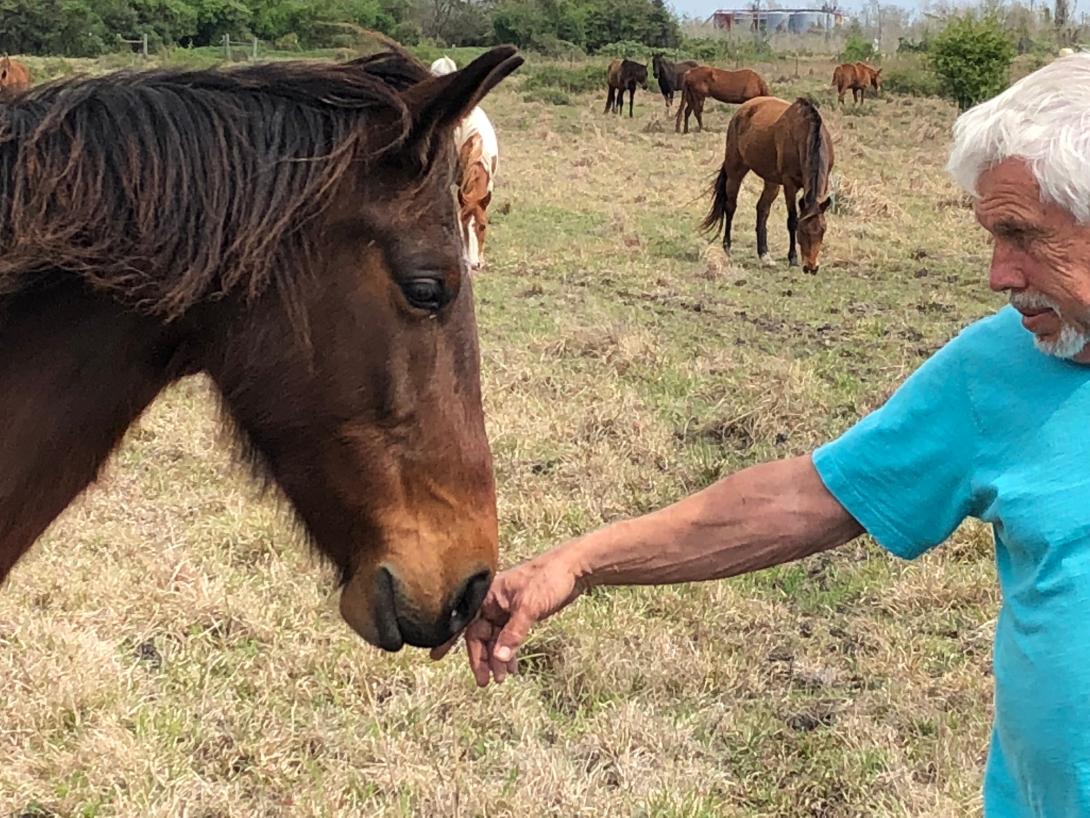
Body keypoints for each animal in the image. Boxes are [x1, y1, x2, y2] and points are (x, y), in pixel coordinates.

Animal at [697, 95, 832, 275]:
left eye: (823, 230)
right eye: (802, 231)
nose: (811, 267)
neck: (805, 134)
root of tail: (743, 109)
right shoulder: (789, 185)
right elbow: (792, 220)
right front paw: (793, 258)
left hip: (771, 181)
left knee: (762, 209)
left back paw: (764, 254)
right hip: (736, 170)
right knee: (730, 206)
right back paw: (727, 247)